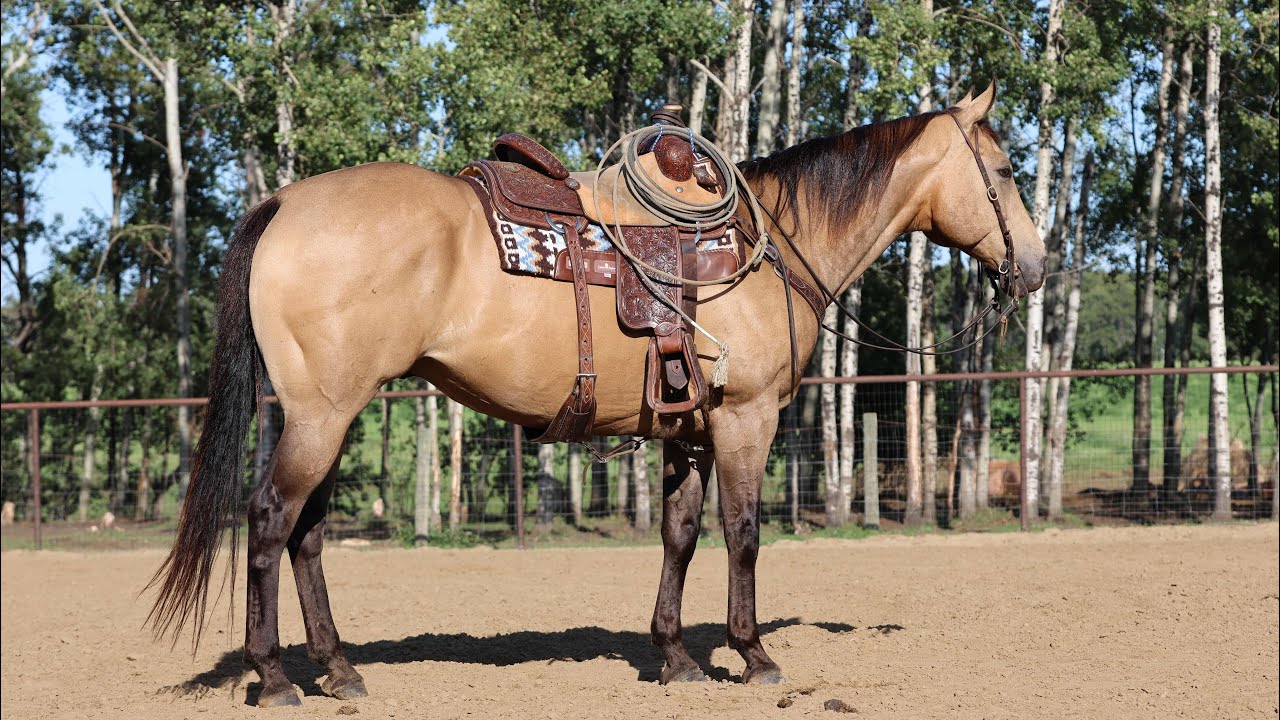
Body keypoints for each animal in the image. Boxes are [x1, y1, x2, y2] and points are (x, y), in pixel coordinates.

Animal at [146, 83, 1045, 707]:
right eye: (1005, 170)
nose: (1036, 268)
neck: (769, 247)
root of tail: (283, 201)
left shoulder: (689, 431)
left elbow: (678, 537)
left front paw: (676, 657)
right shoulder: (746, 420)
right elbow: (744, 535)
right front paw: (753, 655)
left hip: (327, 415)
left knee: (307, 535)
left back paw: (339, 669)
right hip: (321, 417)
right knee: (271, 521)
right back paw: (277, 677)